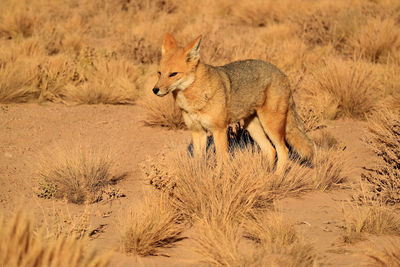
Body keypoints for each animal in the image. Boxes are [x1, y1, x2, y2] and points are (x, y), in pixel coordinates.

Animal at [152, 33, 312, 175]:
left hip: (271, 126)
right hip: (253, 127)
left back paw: (276, 178)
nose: (155, 90)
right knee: (270, 151)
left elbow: (222, 160)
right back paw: (264, 176)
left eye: (173, 74)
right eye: (159, 73)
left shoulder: (219, 130)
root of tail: (283, 75)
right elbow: (199, 161)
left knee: (283, 151)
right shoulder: (198, 131)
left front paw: (219, 178)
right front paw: (198, 178)